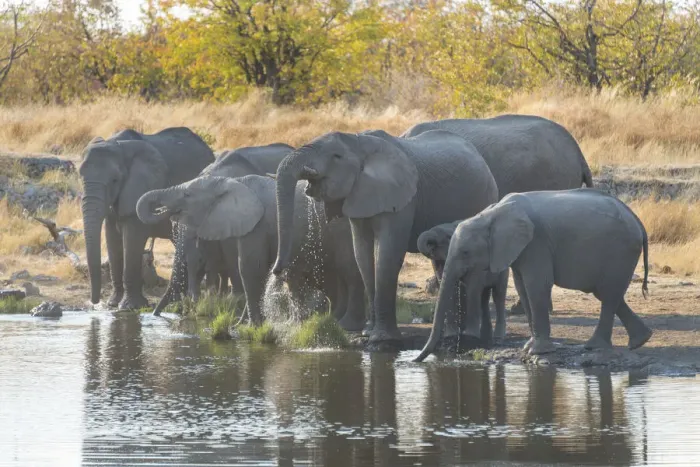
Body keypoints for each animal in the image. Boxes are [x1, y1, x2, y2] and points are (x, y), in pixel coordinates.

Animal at [79, 127, 215, 310]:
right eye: (81, 176)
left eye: (115, 180)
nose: (94, 302)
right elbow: (112, 239)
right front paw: (113, 304)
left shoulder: (141, 189)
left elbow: (132, 240)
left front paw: (129, 307)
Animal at [137, 174, 365, 325]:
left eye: (186, 194)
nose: (154, 316)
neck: (234, 182)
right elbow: (255, 270)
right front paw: (246, 323)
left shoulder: (257, 226)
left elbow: (249, 267)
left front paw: (249, 326)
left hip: (343, 231)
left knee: (348, 272)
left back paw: (344, 323)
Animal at [272, 129, 499, 344]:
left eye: (336, 156)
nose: (277, 270)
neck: (359, 140)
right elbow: (362, 254)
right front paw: (367, 332)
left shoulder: (400, 194)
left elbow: (388, 253)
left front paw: (382, 340)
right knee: (441, 263)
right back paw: (451, 334)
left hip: (485, 197)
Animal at [414, 189, 654, 362]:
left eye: (465, 252)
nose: (416, 360)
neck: (490, 214)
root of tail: (638, 221)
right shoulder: (521, 249)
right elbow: (522, 286)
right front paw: (529, 347)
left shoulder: (536, 243)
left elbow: (536, 285)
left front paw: (538, 352)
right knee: (606, 293)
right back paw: (639, 341)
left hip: (621, 250)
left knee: (608, 293)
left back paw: (595, 346)